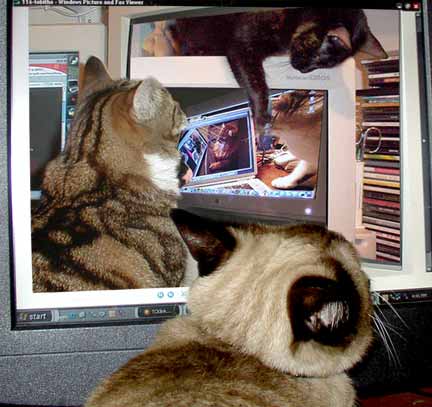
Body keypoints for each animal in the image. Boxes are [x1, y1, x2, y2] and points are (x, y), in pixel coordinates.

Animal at [168, 8, 387, 134]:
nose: (304, 71)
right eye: (319, 59)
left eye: (324, 66)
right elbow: (256, 83)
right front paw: (261, 117)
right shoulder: (242, 46)